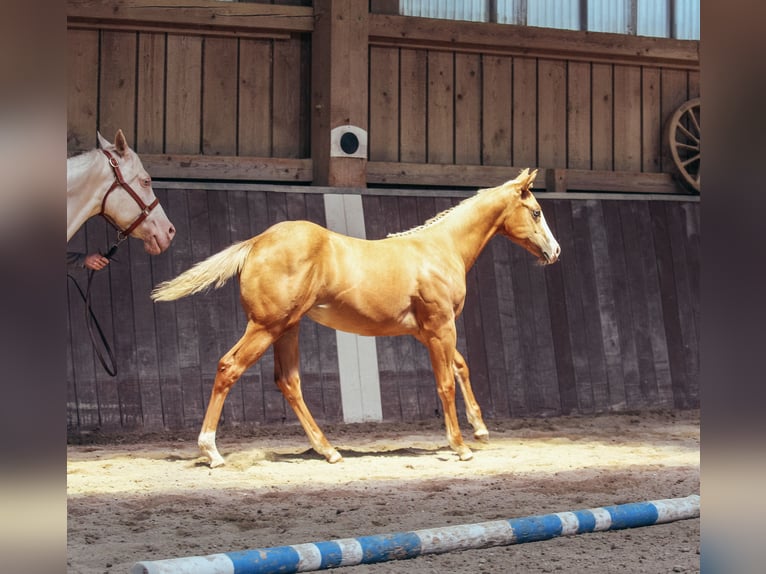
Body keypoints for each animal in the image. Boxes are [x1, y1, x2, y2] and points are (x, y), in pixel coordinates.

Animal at [151, 168, 560, 466]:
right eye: (536, 212)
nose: (555, 251)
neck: (440, 249)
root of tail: (256, 242)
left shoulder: (426, 332)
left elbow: (461, 367)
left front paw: (480, 429)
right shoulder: (441, 327)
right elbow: (445, 382)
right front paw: (460, 446)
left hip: (287, 328)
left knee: (289, 382)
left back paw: (329, 450)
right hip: (266, 327)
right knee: (229, 367)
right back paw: (211, 451)